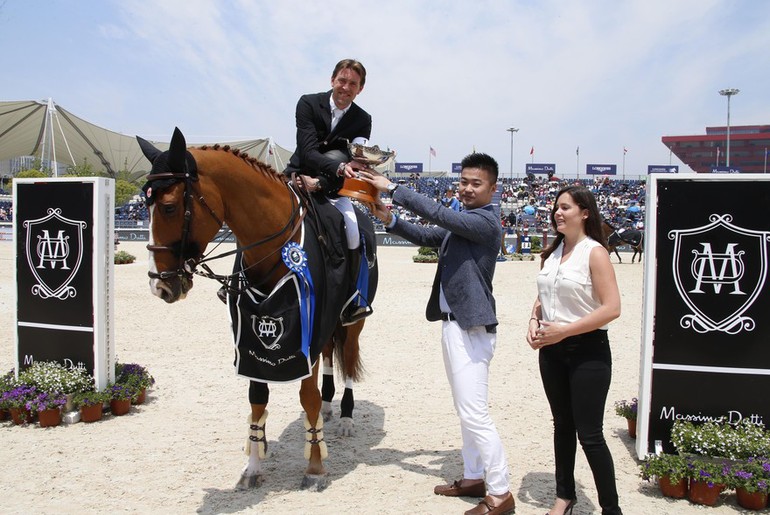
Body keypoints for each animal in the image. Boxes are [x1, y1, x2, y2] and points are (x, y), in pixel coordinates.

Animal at [140, 128, 380, 492]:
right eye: (145, 204)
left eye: (168, 207)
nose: (160, 286)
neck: (273, 248)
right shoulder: (251, 334)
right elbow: (257, 397)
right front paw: (253, 467)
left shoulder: (305, 333)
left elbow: (306, 396)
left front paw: (315, 467)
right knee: (329, 358)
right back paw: (329, 408)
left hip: (351, 323)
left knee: (349, 360)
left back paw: (346, 418)